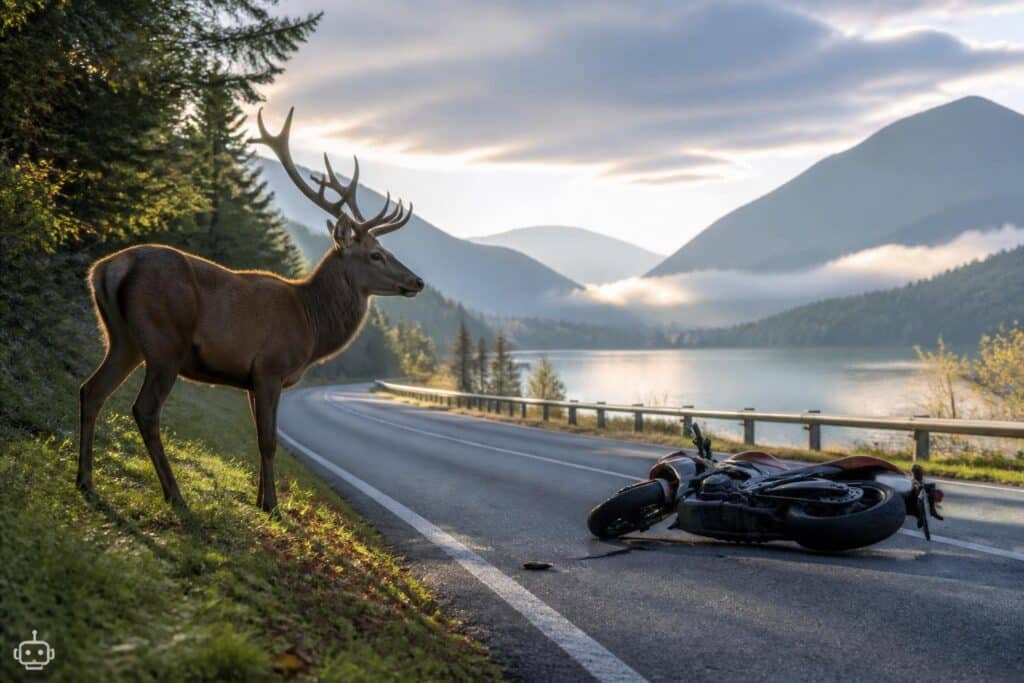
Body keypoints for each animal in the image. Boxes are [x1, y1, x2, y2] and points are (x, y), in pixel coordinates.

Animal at [77, 107, 423, 512]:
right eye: (376, 255)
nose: (417, 281)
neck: (311, 322)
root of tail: (105, 269)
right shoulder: (271, 367)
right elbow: (268, 441)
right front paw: (272, 505)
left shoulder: (251, 378)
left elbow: (261, 440)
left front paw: (260, 498)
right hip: (164, 342)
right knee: (144, 409)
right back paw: (174, 494)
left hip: (123, 341)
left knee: (90, 390)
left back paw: (86, 482)